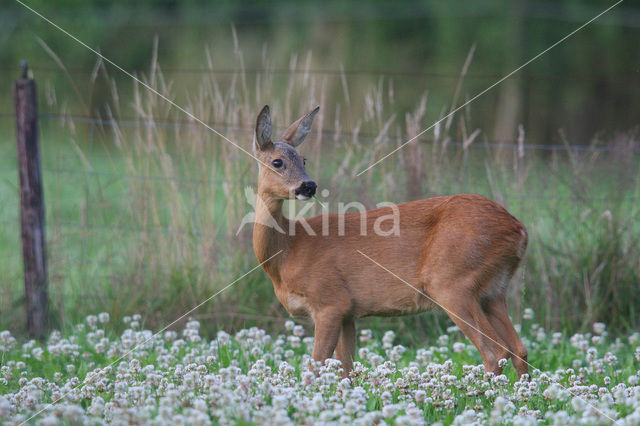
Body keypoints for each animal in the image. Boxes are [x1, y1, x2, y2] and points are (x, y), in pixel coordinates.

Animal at [252, 105, 528, 378]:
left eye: (303, 159)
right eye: (277, 161)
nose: (309, 185)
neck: (287, 249)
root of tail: (519, 229)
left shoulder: (329, 301)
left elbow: (316, 366)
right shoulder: (348, 313)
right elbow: (346, 370)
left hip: (453, 282)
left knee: (496, 351)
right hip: (493, 291)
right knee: (519, 349)